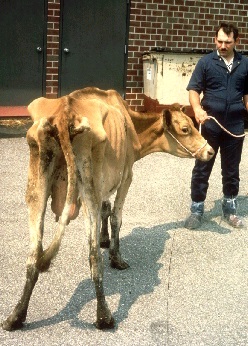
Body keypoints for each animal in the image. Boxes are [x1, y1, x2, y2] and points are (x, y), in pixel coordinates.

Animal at [1, 86, 214, 330]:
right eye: (186, 129)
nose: (210, 151)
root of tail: (65, 112)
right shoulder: (126, 176)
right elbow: (115, 217)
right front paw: (115, 255)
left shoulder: (106, 183)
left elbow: (106, 208)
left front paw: (104, 239)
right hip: (88, 188)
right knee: (93, 257)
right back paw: (104, 316)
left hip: (37, 185)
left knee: (33, 256)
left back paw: (16, 316)